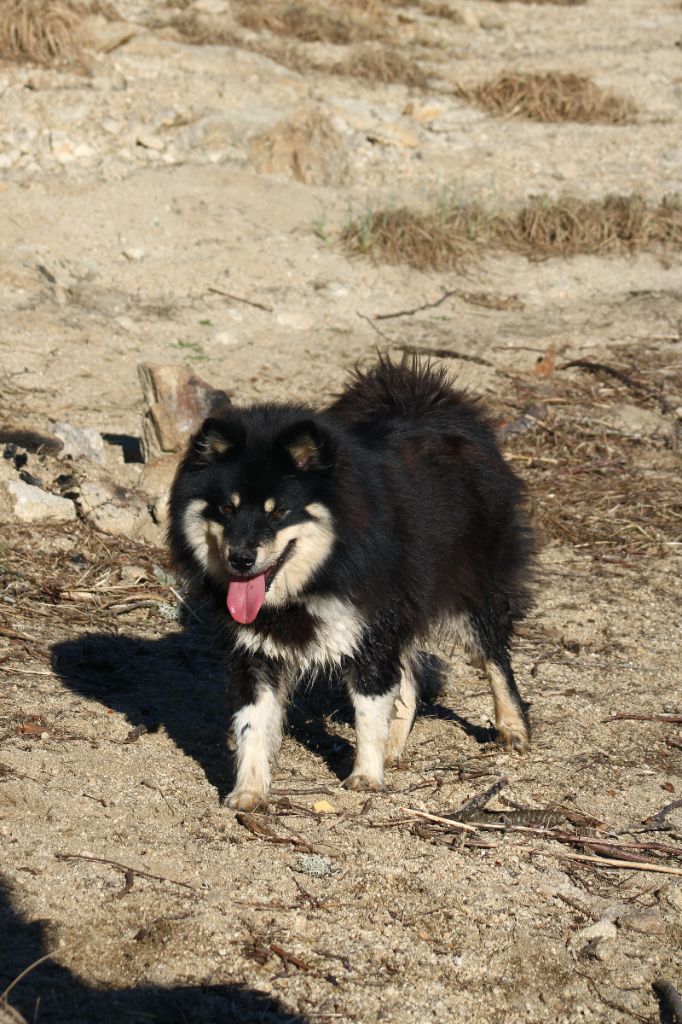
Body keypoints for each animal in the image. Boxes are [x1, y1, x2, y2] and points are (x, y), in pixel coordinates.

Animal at [166, 356, 532, 811]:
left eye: (277, 511)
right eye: (226, 508)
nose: (241, 559)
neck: (317, 577)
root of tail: (430, 401)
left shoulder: (369, 628)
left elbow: (368, 708)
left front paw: (365, 776)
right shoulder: (254, 650)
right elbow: (252, 723)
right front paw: (248, 791)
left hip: (470, 590)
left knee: (495, 657)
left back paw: (513, 728)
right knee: (409, 683)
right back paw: (395, 748)